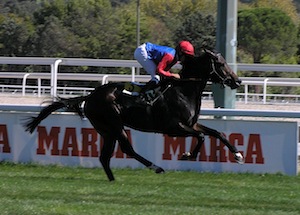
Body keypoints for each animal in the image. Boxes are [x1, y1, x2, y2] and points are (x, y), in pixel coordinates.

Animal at [24, 49, 244, 181]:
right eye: (221, 64)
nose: (238, 81)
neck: (183, 89)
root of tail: (91, 95)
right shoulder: (174, 128)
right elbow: (201, 136)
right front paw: (188, 155)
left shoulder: (191, 124)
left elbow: (216, 133)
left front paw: (238, 154)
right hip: (114, 125)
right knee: (126, 149)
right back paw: (156, 167)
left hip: (107, 130)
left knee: (105, 156)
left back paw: (113, 180)